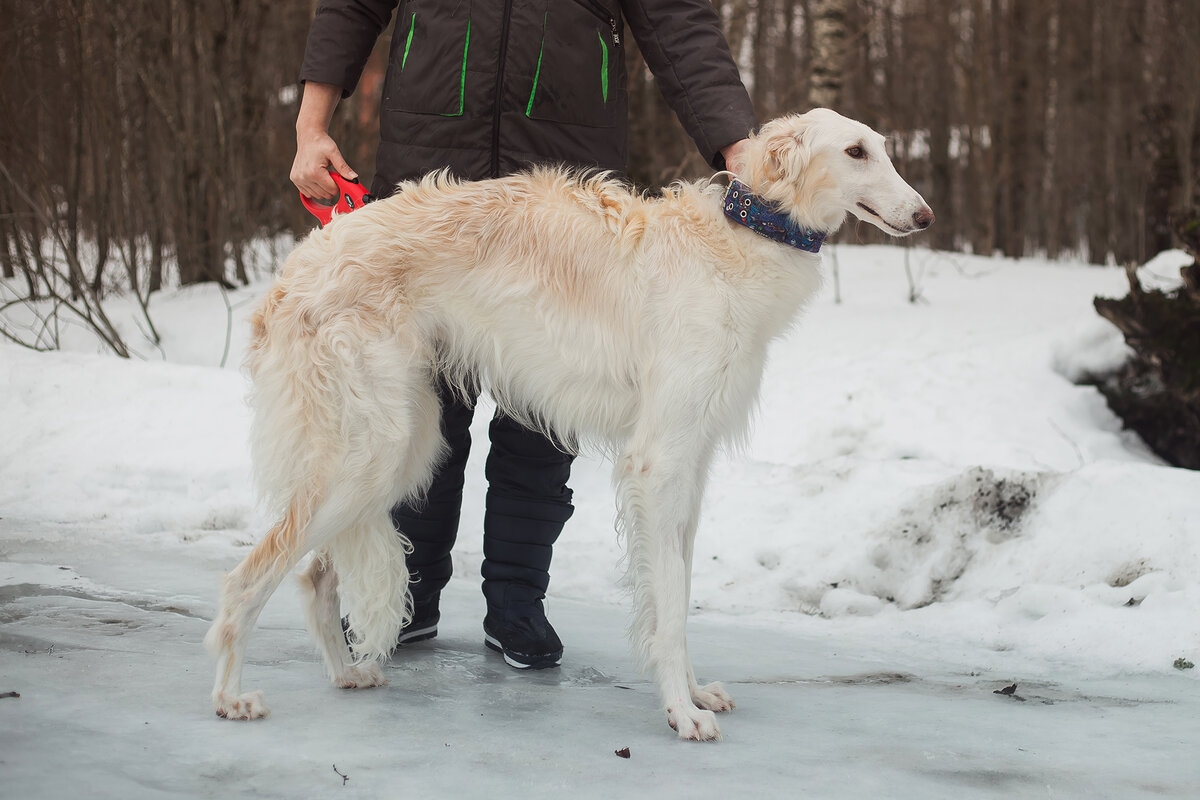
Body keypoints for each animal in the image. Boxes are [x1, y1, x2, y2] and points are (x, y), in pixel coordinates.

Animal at [206, 109, 931, 743]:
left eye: (884, 148)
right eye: (856, 151)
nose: (925, 215)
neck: (732, 244)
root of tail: (299, 264)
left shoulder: (691, 463)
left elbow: (677, 594)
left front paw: (695, 693)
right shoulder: (657, 463)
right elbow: (670, 604)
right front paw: (682, 712)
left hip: (400, 448)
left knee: (313, 576)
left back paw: (345, 673)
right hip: (375, 450)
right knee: (249, 578)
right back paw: (231, 696)